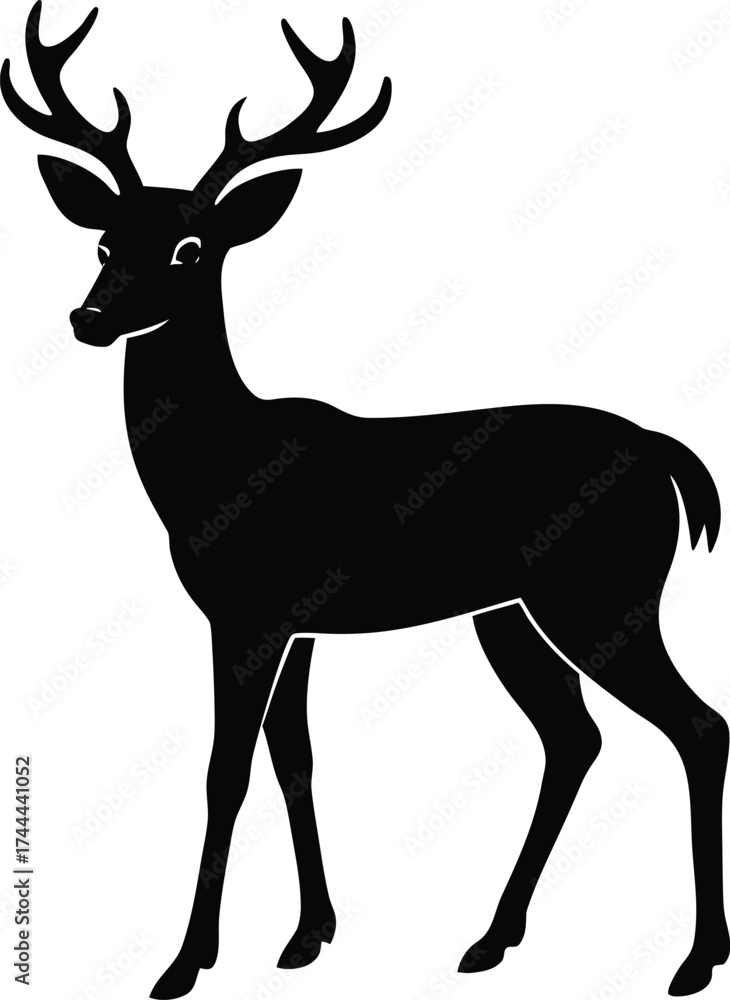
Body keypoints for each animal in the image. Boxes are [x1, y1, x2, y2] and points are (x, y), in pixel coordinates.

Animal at [3, 3, 728, 997]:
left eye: (191, 247)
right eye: (106, 240)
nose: (89, 319)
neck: (211, 473)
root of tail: (668, 455)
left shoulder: (249, 612)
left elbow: (226, 771)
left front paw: (185, 963)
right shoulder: (301, 624)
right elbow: (295, 759)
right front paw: (309, 935)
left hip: (601, 594)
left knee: (698, 725)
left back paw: (695, 958)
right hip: (509, 611)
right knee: (574, 737)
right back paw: (491, 938)